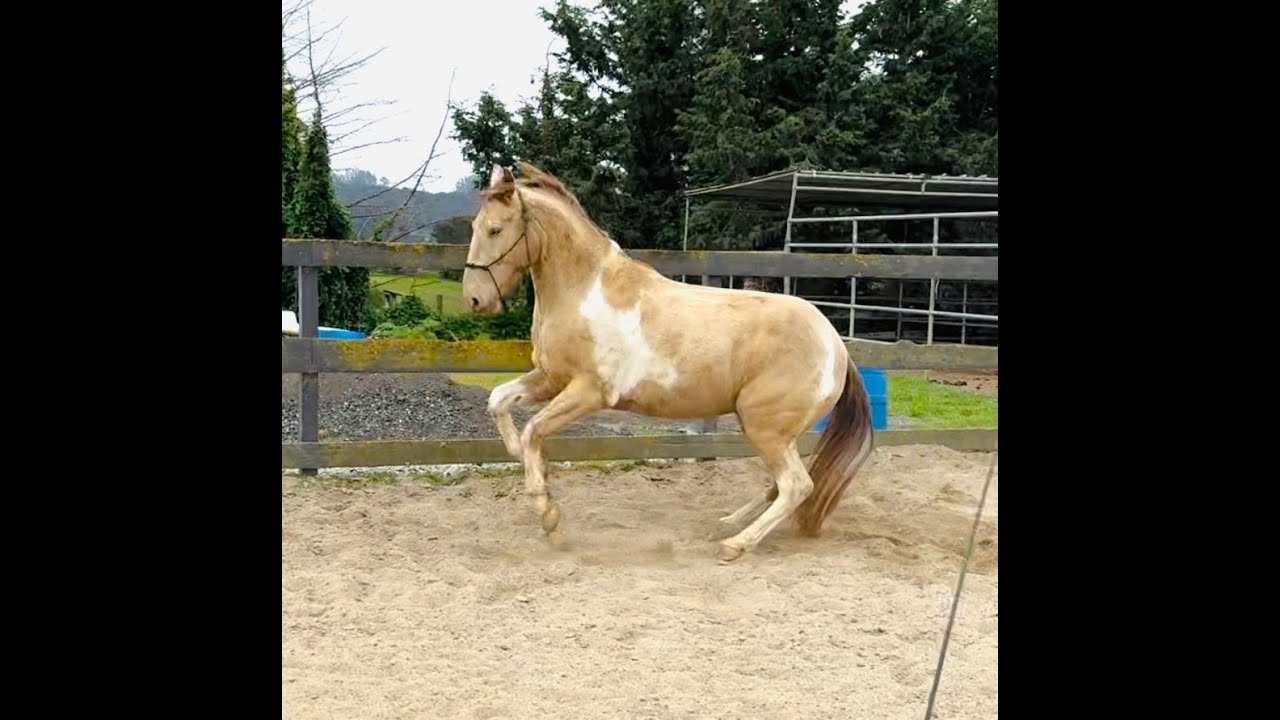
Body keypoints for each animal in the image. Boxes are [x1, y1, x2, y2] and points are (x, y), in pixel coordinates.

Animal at [461, 162, 874, 563]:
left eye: (496, 229)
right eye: (475, 226)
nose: (476, 300)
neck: (586, 292)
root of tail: (836, 346)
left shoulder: (589, 392)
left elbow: (533, 430)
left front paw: (549, 517)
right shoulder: (551, 378)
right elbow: (498, 400)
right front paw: (520, 457)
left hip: (766, 428)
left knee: (796, 485)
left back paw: (734, 545)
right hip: (773, 430)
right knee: (781, 485)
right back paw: (725, 524)